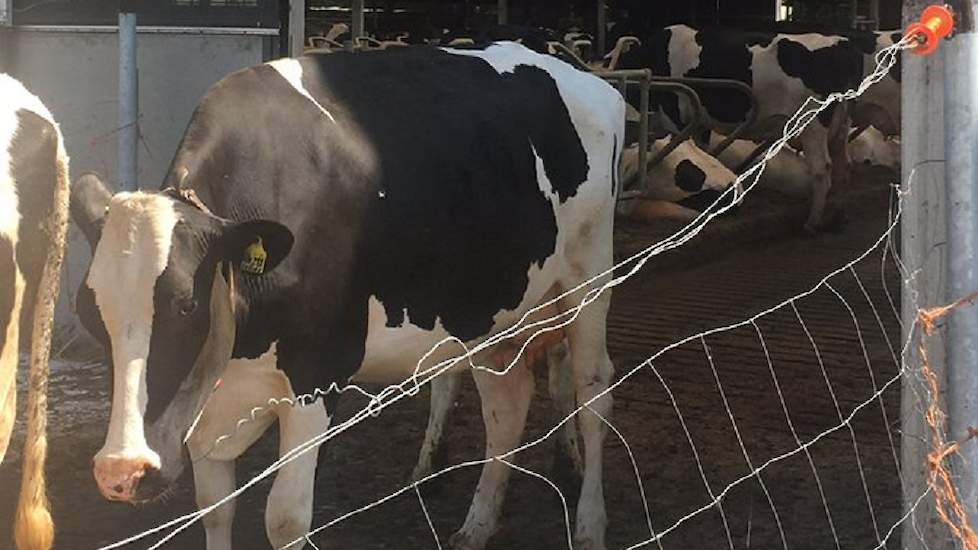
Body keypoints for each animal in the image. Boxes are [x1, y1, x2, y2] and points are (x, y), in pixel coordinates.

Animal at [72, 44, 624, 550]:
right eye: (90, 316)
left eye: (186, 304)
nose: (121, 471)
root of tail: (592, 82)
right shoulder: (213, 403)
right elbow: (215, 510)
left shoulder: (316, 376)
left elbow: (285, 520)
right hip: (492, 310)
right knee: (507, 406)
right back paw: (477, 526)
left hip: (589, 274)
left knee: (593, 392)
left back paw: (590, 525)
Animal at [616, 25, 860, 233]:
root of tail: (841, 44)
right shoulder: (701, 121)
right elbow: (703, 149)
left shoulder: (673, 115)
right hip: (842, 123)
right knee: (844, 165)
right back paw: (838, 217)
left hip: (813, 123)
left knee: (822, 168)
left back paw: (812, 222)